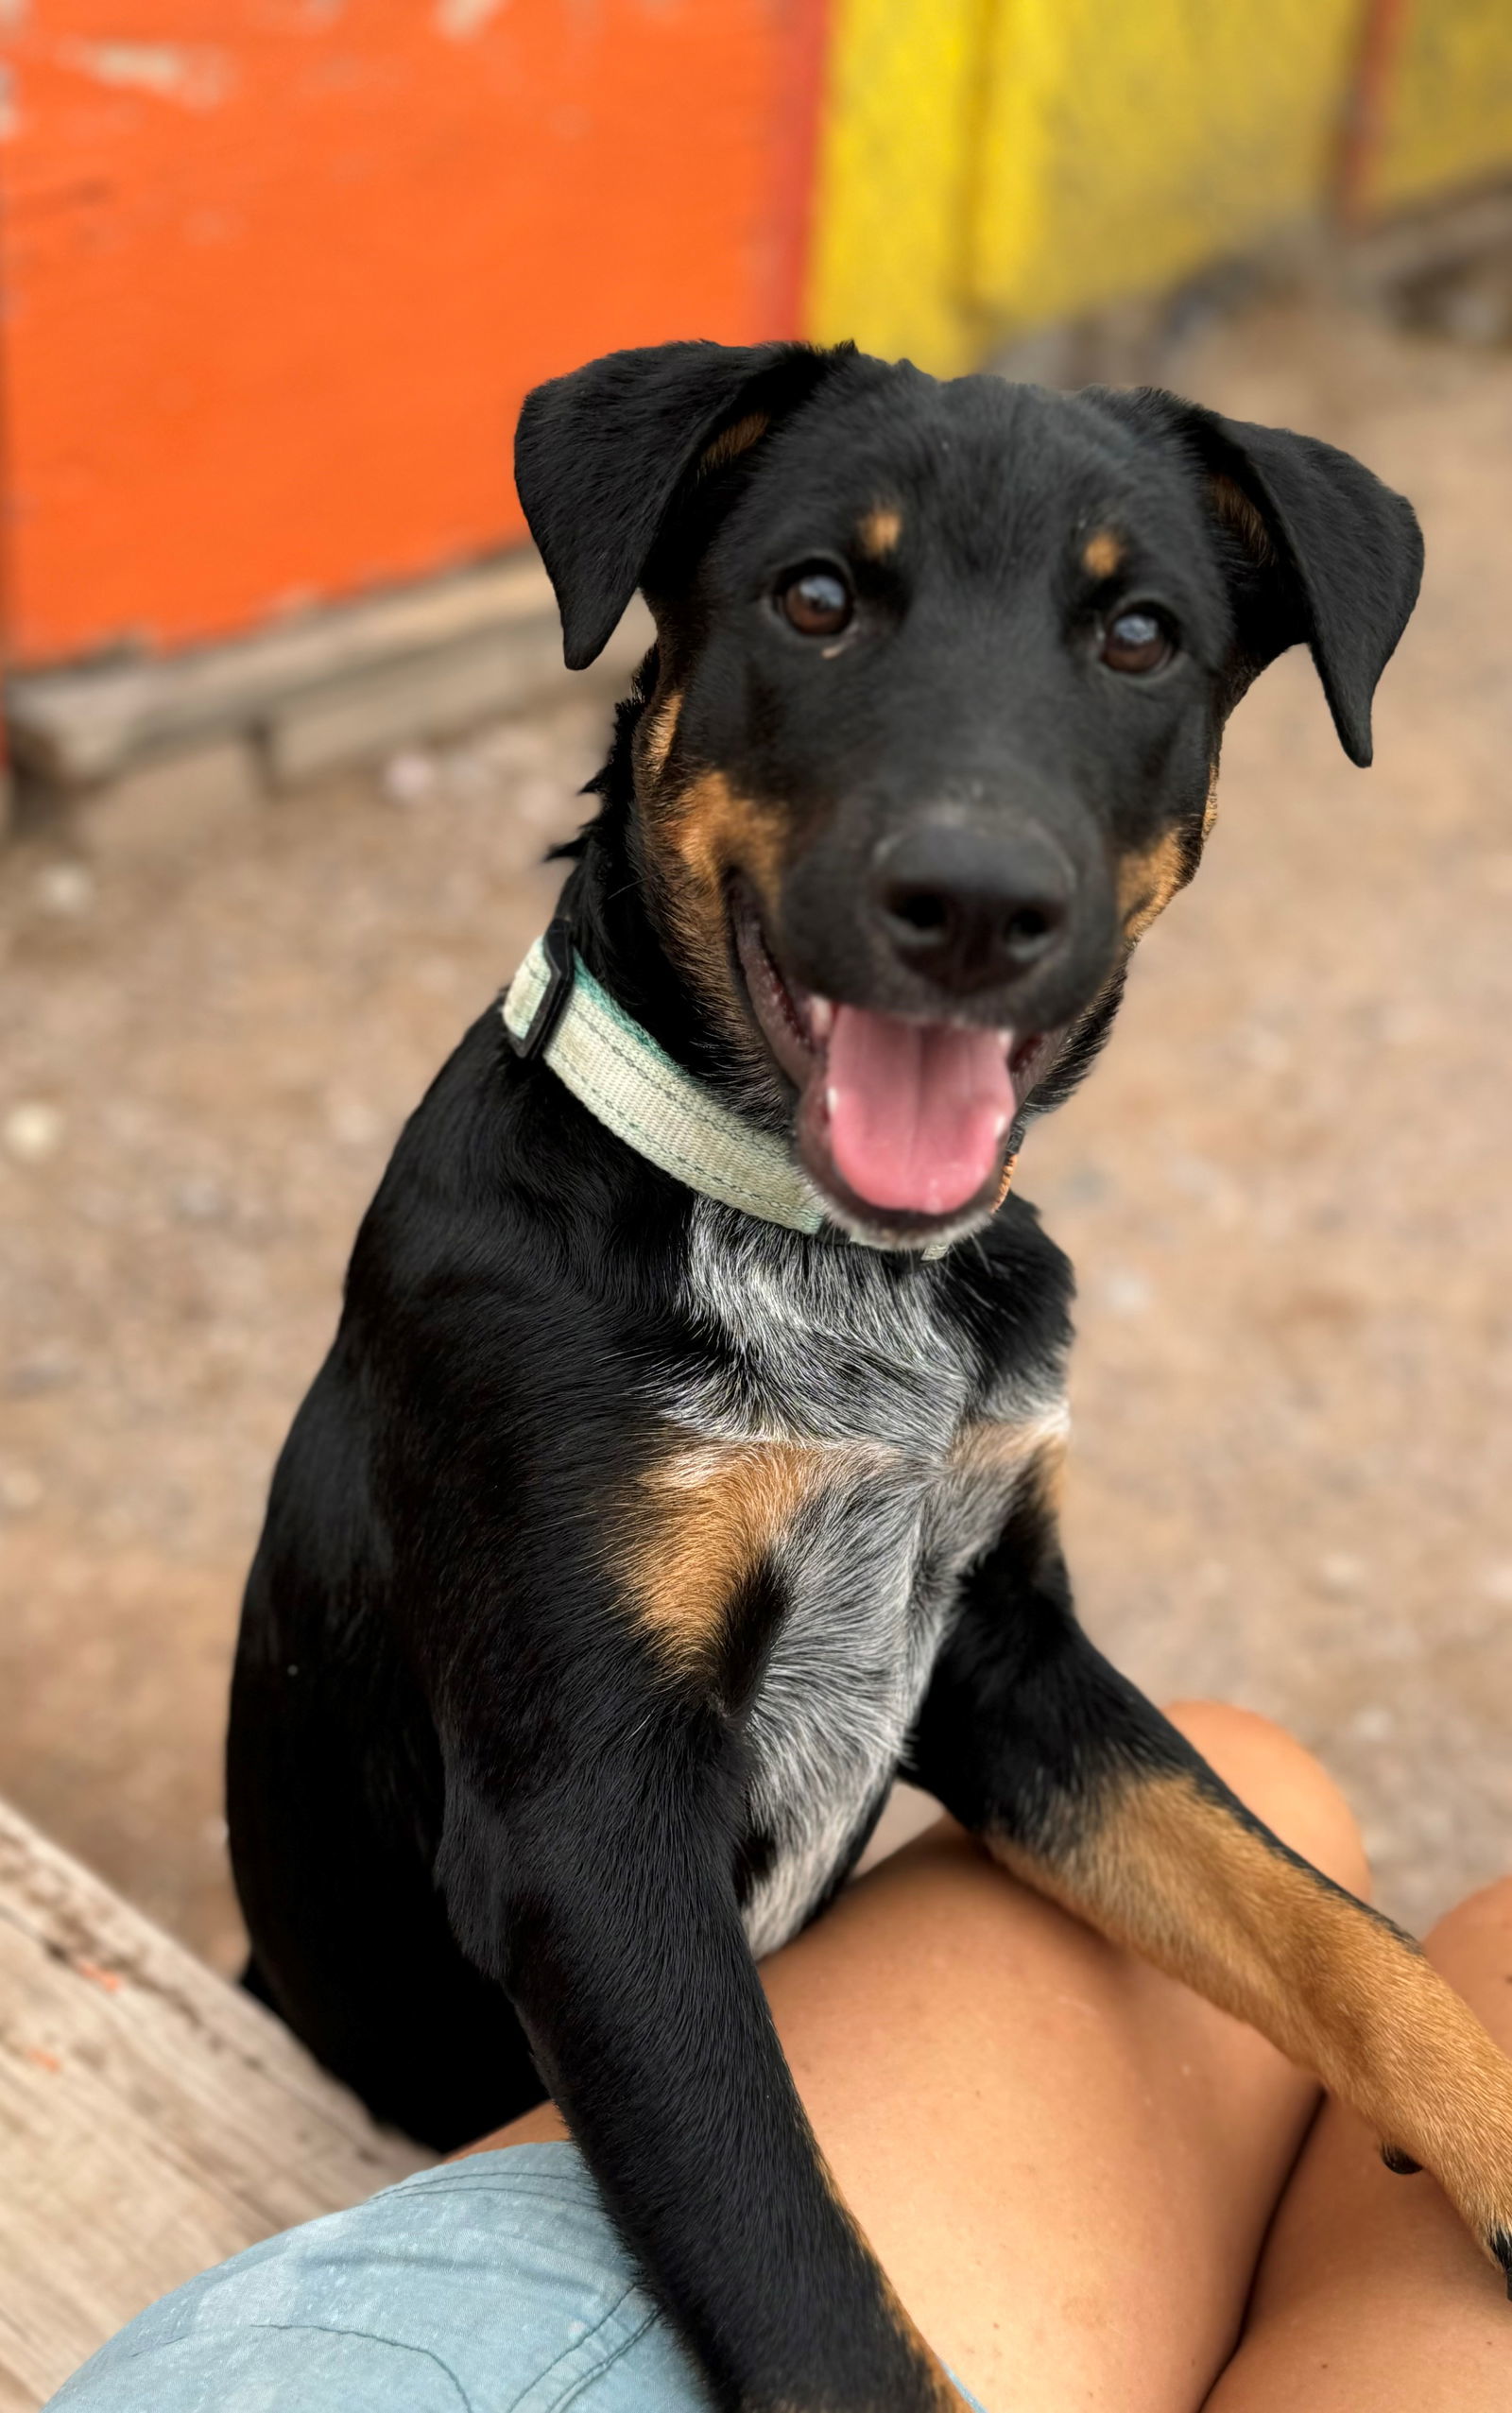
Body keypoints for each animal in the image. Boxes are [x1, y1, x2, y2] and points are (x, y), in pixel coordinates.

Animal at [228, 339, 1512, 2413]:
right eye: (815, 597)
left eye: (1138, 635)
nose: (975, 902)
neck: (830, 1260)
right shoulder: (585, 1827)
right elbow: (809, 2279)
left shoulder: (1005, 1658)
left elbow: (1342, 1937)